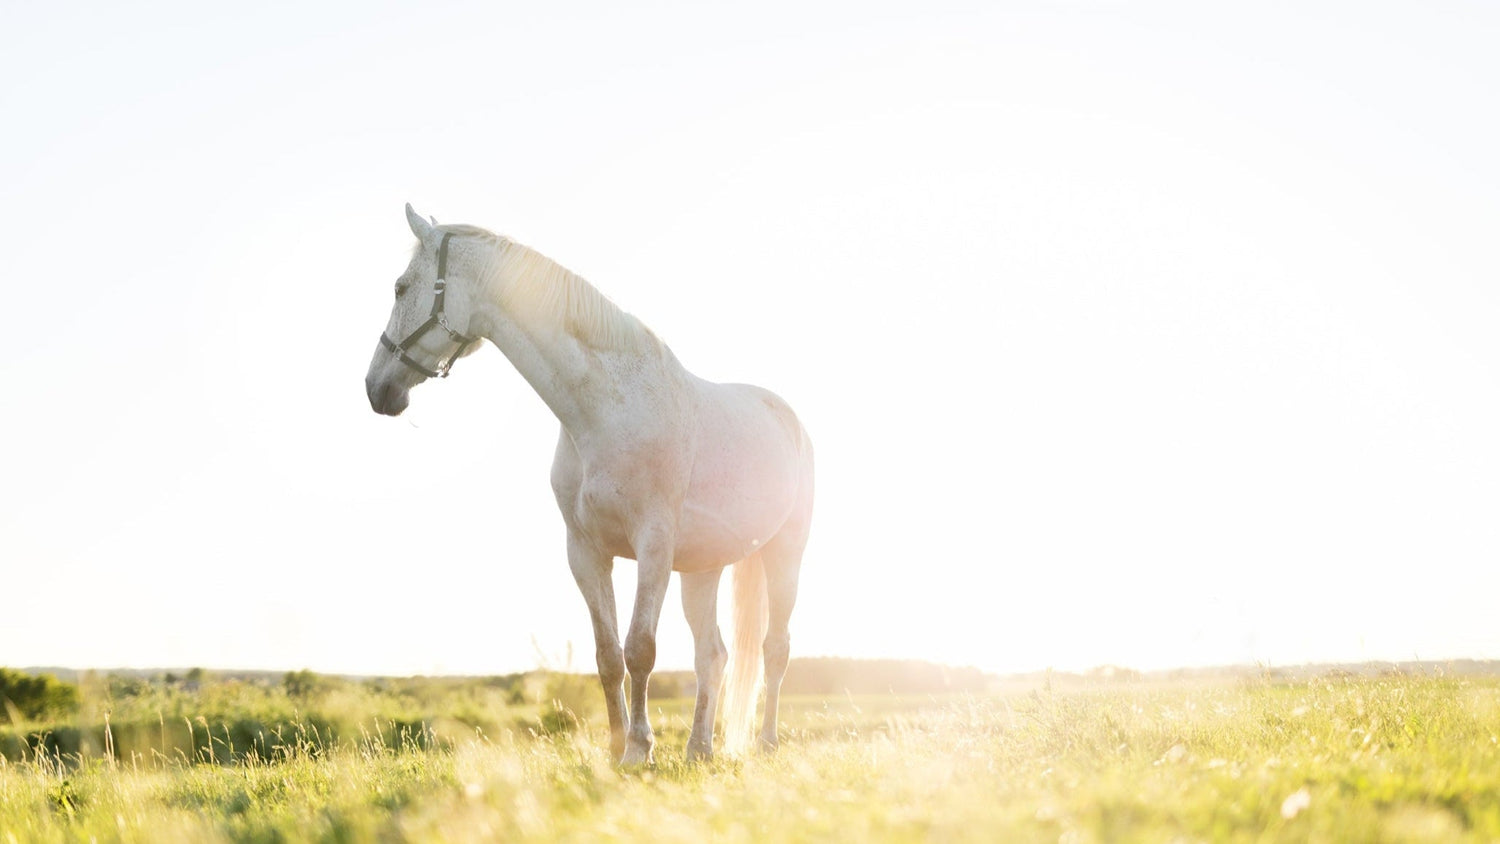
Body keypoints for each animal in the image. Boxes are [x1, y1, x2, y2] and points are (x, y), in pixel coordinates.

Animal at [364, 205, 814, 765]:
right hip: (702, 568)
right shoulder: (585, 552)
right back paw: (698, 750)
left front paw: (639, 749)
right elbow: (607, 656)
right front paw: (616, 748)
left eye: (401, 287)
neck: (603, 410)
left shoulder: (652, 546)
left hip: (784, 553)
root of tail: (787, 417)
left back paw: (766, 743)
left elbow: (640, 648)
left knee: (775, 649)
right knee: (712, 654)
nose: (377, 388)